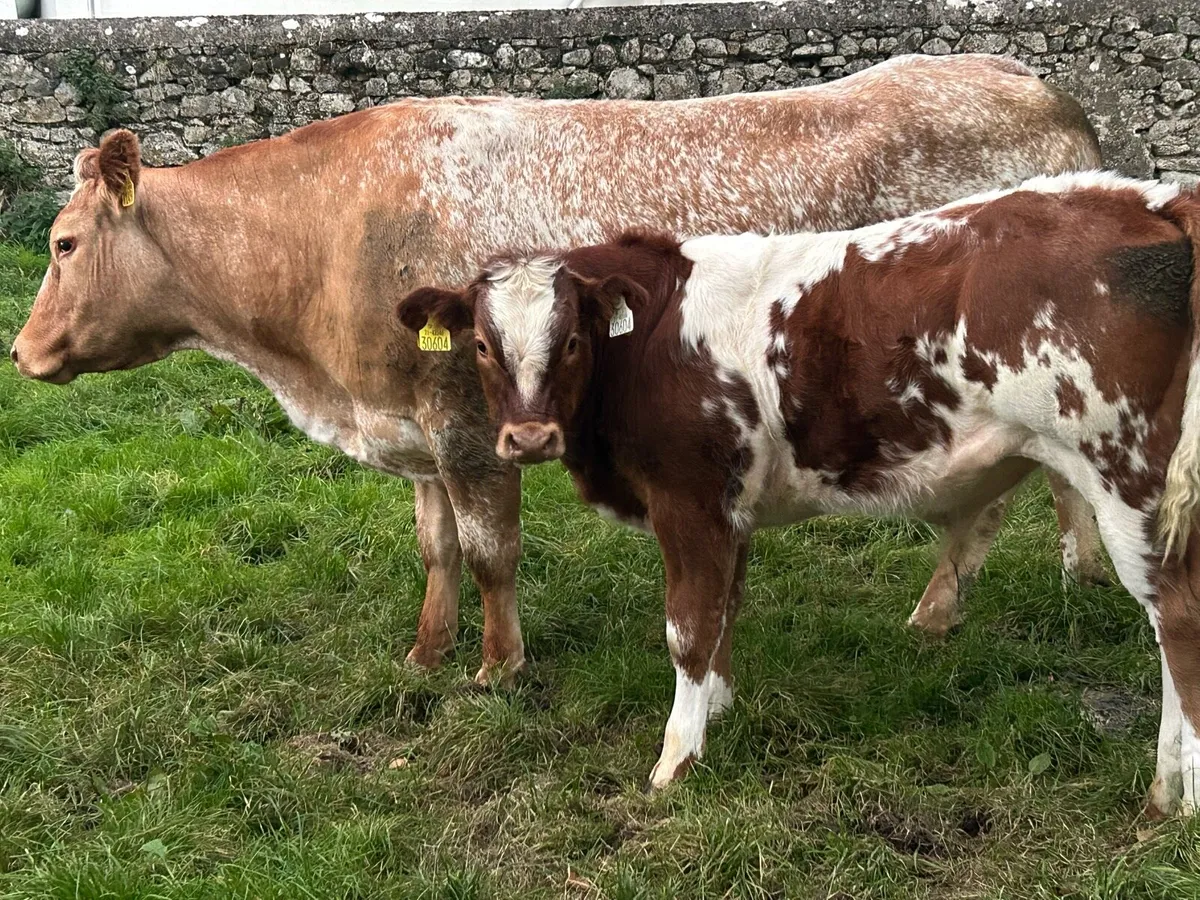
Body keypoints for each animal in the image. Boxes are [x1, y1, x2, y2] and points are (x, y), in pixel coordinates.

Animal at [11, 54, 1103, 687]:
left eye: (63, 245)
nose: (19, 353)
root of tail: (1031, 82)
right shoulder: (419, 427)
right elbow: (437, 551)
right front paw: (427, 652)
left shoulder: (470, 427)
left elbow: (491, 553)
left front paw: (498, 668)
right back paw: (1076, 569)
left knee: (993, 503)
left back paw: (938, 611)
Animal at [397, 171, 1200, 815]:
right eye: (481, 345)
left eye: (569, 341)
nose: (528, 439)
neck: (650, 335)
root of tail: (1148, 199)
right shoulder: (730, 508)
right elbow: (724, 610)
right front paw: (718, 713)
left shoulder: (689, 500)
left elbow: (688, 628)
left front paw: (676, 759)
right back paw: (1164, 795)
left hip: (1126, 476)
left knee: (1177, 619)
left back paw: (1174, 800)